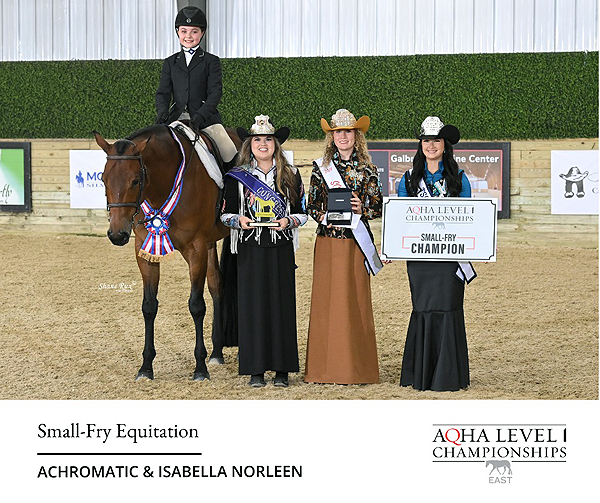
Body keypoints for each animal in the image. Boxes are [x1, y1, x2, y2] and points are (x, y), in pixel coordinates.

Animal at [94, 124, 241, 381]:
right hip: (210, 244)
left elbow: (196, 305)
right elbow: (149, 306)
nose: (117, 234)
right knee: (217, 286)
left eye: (135, 181)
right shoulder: (145, 251)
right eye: (103, 179)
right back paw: (217, 353)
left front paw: (199, 368)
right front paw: (145, 367)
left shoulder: (196, 249)